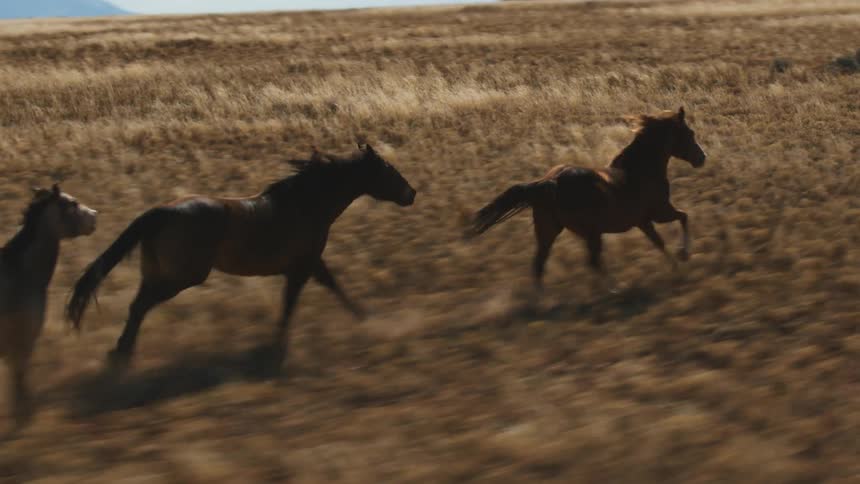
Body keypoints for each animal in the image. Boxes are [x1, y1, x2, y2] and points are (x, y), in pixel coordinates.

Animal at [0, 184, 97, 423]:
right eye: (72, 203)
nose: (94, 216)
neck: (22, 273)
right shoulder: (23, 341)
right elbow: (20, 380)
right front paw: (23, 415)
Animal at [67, 144, 416, 369]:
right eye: (388, 170)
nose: (411, 193)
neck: (305, 204)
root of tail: (159, 212)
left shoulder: (309, 265)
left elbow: (332, 288)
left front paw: (365, 318)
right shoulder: (301, 268)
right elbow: (293, 304)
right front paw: (277, 347)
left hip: (156, 273)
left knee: (136, 306)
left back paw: (120, 353)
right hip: (181, 278)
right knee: (141, 306)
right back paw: (122, 356)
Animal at [467, 107, 706, 294]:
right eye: (689, 133)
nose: (701, 158)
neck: (640, 171)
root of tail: (551, 182)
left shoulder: (643, 222)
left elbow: (659, 241)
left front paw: (676, 265)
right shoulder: (660, 212)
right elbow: (683, 218)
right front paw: (683, 255)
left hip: (550, 231)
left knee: (540, 264)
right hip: (591, 232)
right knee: (592, 261)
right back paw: (614, 289)